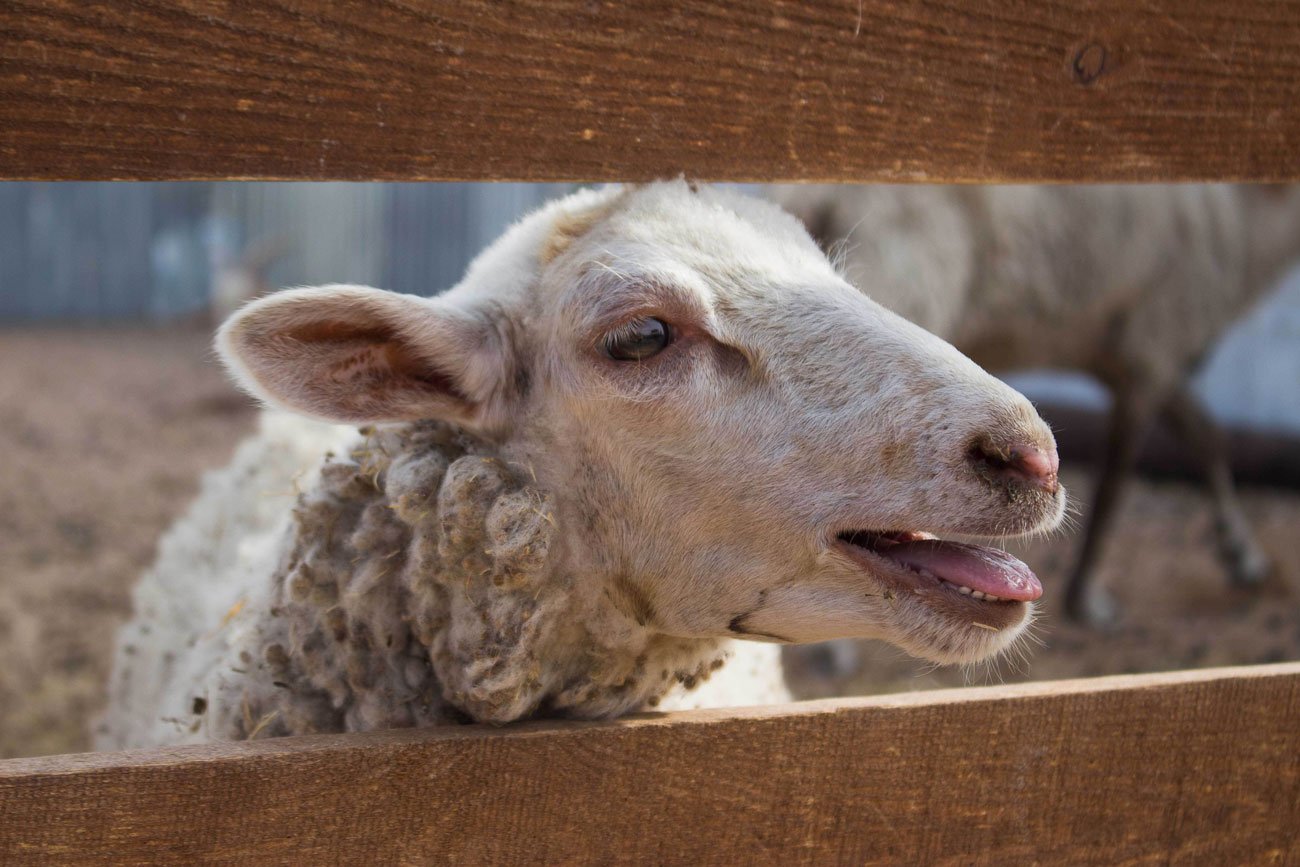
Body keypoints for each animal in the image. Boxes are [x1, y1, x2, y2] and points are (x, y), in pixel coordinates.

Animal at [773, 184, 1300, 625]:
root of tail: (818, 198)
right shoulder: (1154, 347)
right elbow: (1119, 483)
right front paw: (1088, 599)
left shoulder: (1129, 357)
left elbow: (1204, 436)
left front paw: (1241, 554)